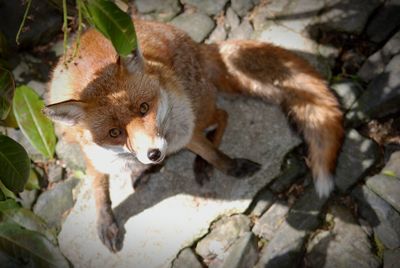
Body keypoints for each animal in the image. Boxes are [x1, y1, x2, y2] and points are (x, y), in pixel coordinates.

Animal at [43, 19, 344, 252]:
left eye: (144, 108)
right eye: (114, 133)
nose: (153, 153)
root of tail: (195, 44)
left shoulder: (186, 133)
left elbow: (213, 153)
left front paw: (230, 166)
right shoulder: (94, 157)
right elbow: (99, 192)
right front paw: (106, 223)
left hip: (200, 107)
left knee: (223, 115)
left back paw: (195, 164)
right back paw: (147, 171)